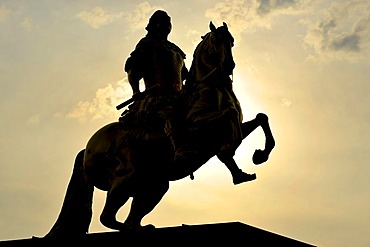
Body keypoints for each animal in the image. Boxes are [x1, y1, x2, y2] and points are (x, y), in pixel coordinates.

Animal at [44, 21, 274, 239]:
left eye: (232, 41)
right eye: (217, 40)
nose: (229, 65)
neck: (209, 88)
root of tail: (88, 148)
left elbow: (261, 118)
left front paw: (258, 157)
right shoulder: (198, 128)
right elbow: (230, 117)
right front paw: (231, 150)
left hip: (153, 185)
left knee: (130, 217)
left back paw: (142, 228)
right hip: (125, 179)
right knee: (107, 217)